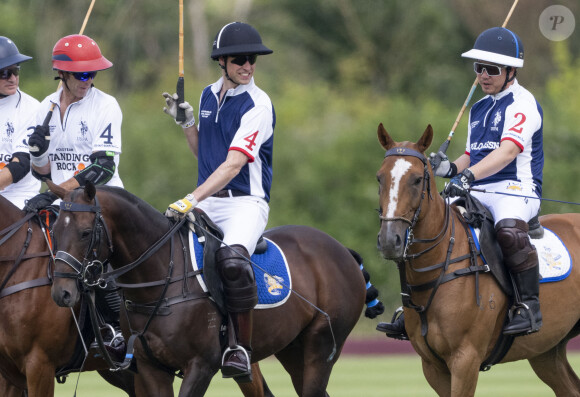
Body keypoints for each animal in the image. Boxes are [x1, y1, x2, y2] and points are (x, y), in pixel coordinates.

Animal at [47, 183, 378, 396]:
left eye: (85, 232)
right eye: (55, 229)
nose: (62, 293)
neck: (160, 279)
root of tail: (343, 251)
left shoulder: (200, 365)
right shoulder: (151, 369)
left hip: (321, 347)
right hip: (292, 349)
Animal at [374, 122, 580, 394]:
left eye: (417, 179)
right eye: (380, 178)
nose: (390, 240)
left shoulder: (465, 359)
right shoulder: (433, 366)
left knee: (511, 234)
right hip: (546, 350)